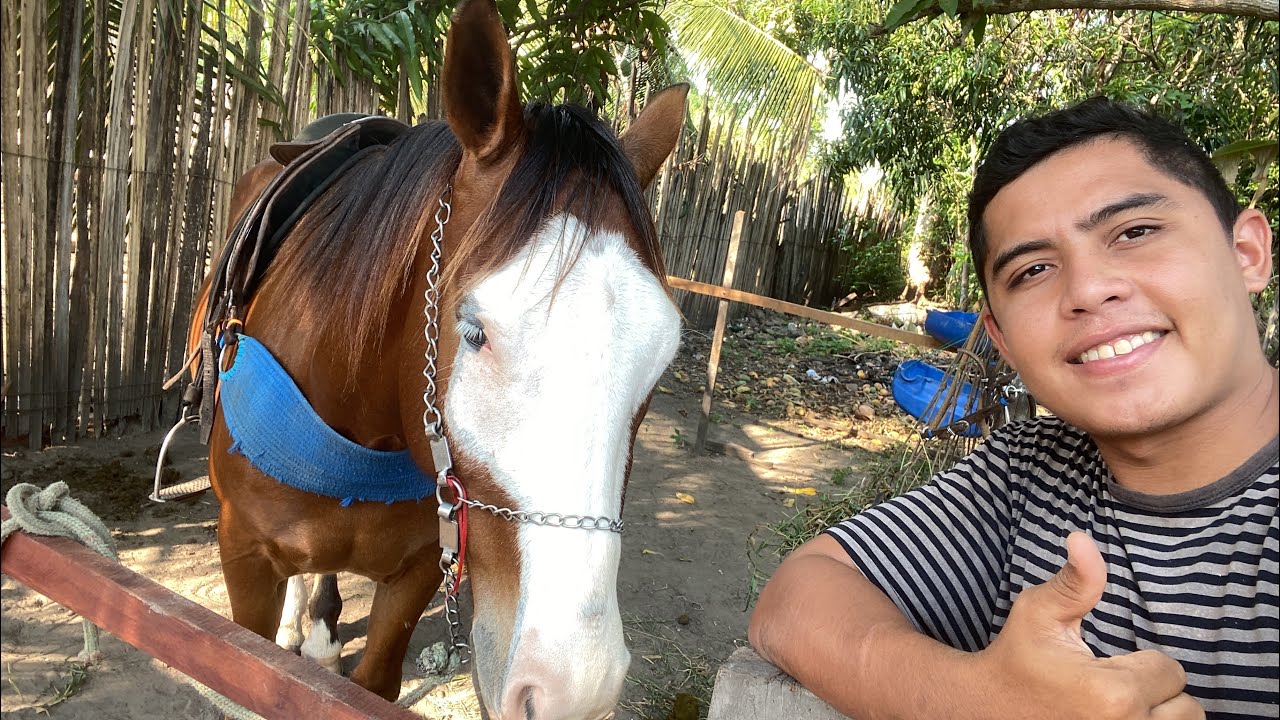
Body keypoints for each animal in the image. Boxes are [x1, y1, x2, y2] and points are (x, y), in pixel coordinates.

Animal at [186, 1, 687, 716]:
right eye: (473, 332)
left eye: (661, 358)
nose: (573, 688)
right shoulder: (243, 558)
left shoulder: (423, 565)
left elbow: (372, 683)